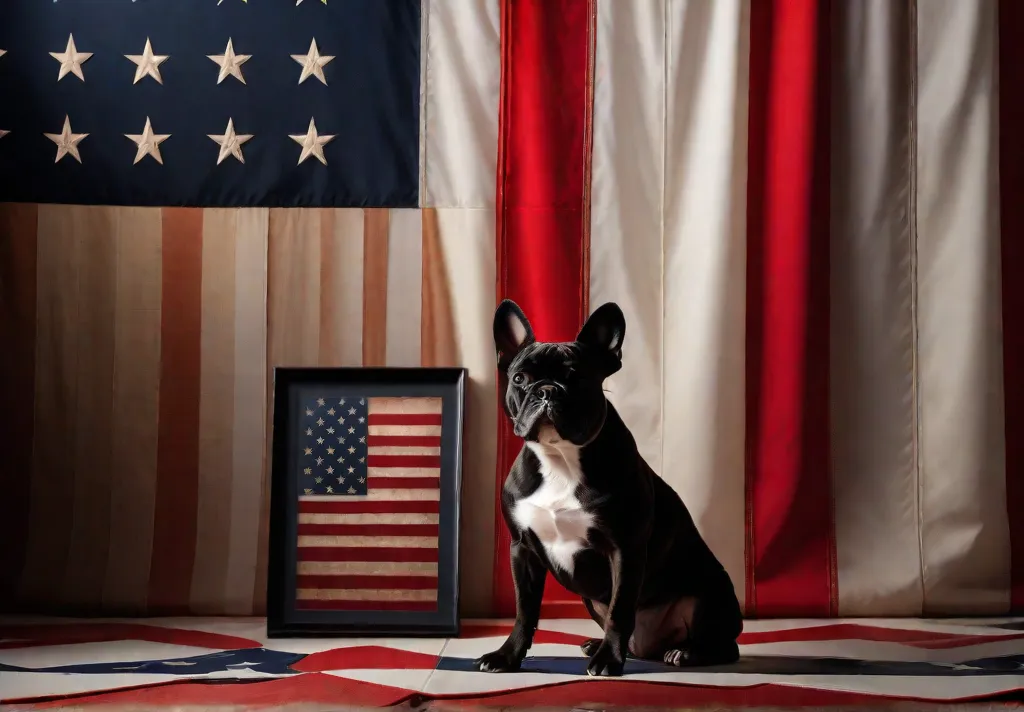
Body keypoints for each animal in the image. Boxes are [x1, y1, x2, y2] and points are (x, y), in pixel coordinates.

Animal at [471, 297, 745, 676]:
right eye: (519, 378)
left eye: (579, 377)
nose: (547, 390)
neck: (560, 457)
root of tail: (651, 646)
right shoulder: (521, 549)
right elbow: (524, 611)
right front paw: (507, 656)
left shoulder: (624, 549)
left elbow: (620, 609)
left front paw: (608, 662)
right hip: (591, 599)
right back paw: (599, 644)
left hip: (710, 593)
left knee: (725, 644)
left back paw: (686, 653)